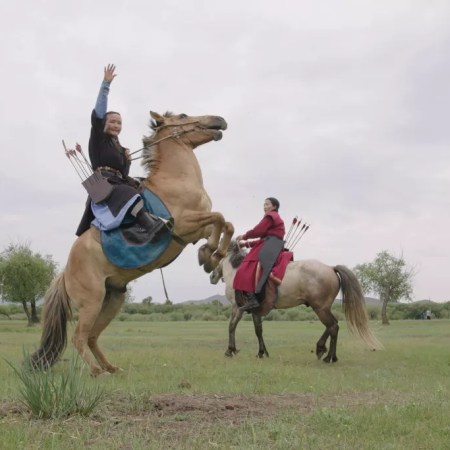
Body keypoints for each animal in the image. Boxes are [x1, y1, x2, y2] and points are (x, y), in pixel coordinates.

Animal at [31, 111, 234, 376]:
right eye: (183, 116)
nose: (219, 120)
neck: (175, 180)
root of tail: (65, 272)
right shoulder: (184, 223)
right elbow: (219, 217)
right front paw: (211, 253)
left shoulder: (196, 229)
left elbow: (226, 225)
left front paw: (209, 255)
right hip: (92, 301)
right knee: (79, 337)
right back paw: (97, 372)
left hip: (112, 299)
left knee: (92, 336)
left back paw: (111, 368)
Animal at [210, 241, 382, 362]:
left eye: (217, 256)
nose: (212, 276)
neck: (236, 272)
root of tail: (330, 268)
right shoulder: (255, 311)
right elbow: (258, 330)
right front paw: (261, 352)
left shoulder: (237, 307)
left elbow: (231, 326)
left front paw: (230, 350)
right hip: (322, 307)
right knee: (333, 325)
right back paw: (323, 350)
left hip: (320, 308)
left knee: (333, 326)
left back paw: (328, 357)